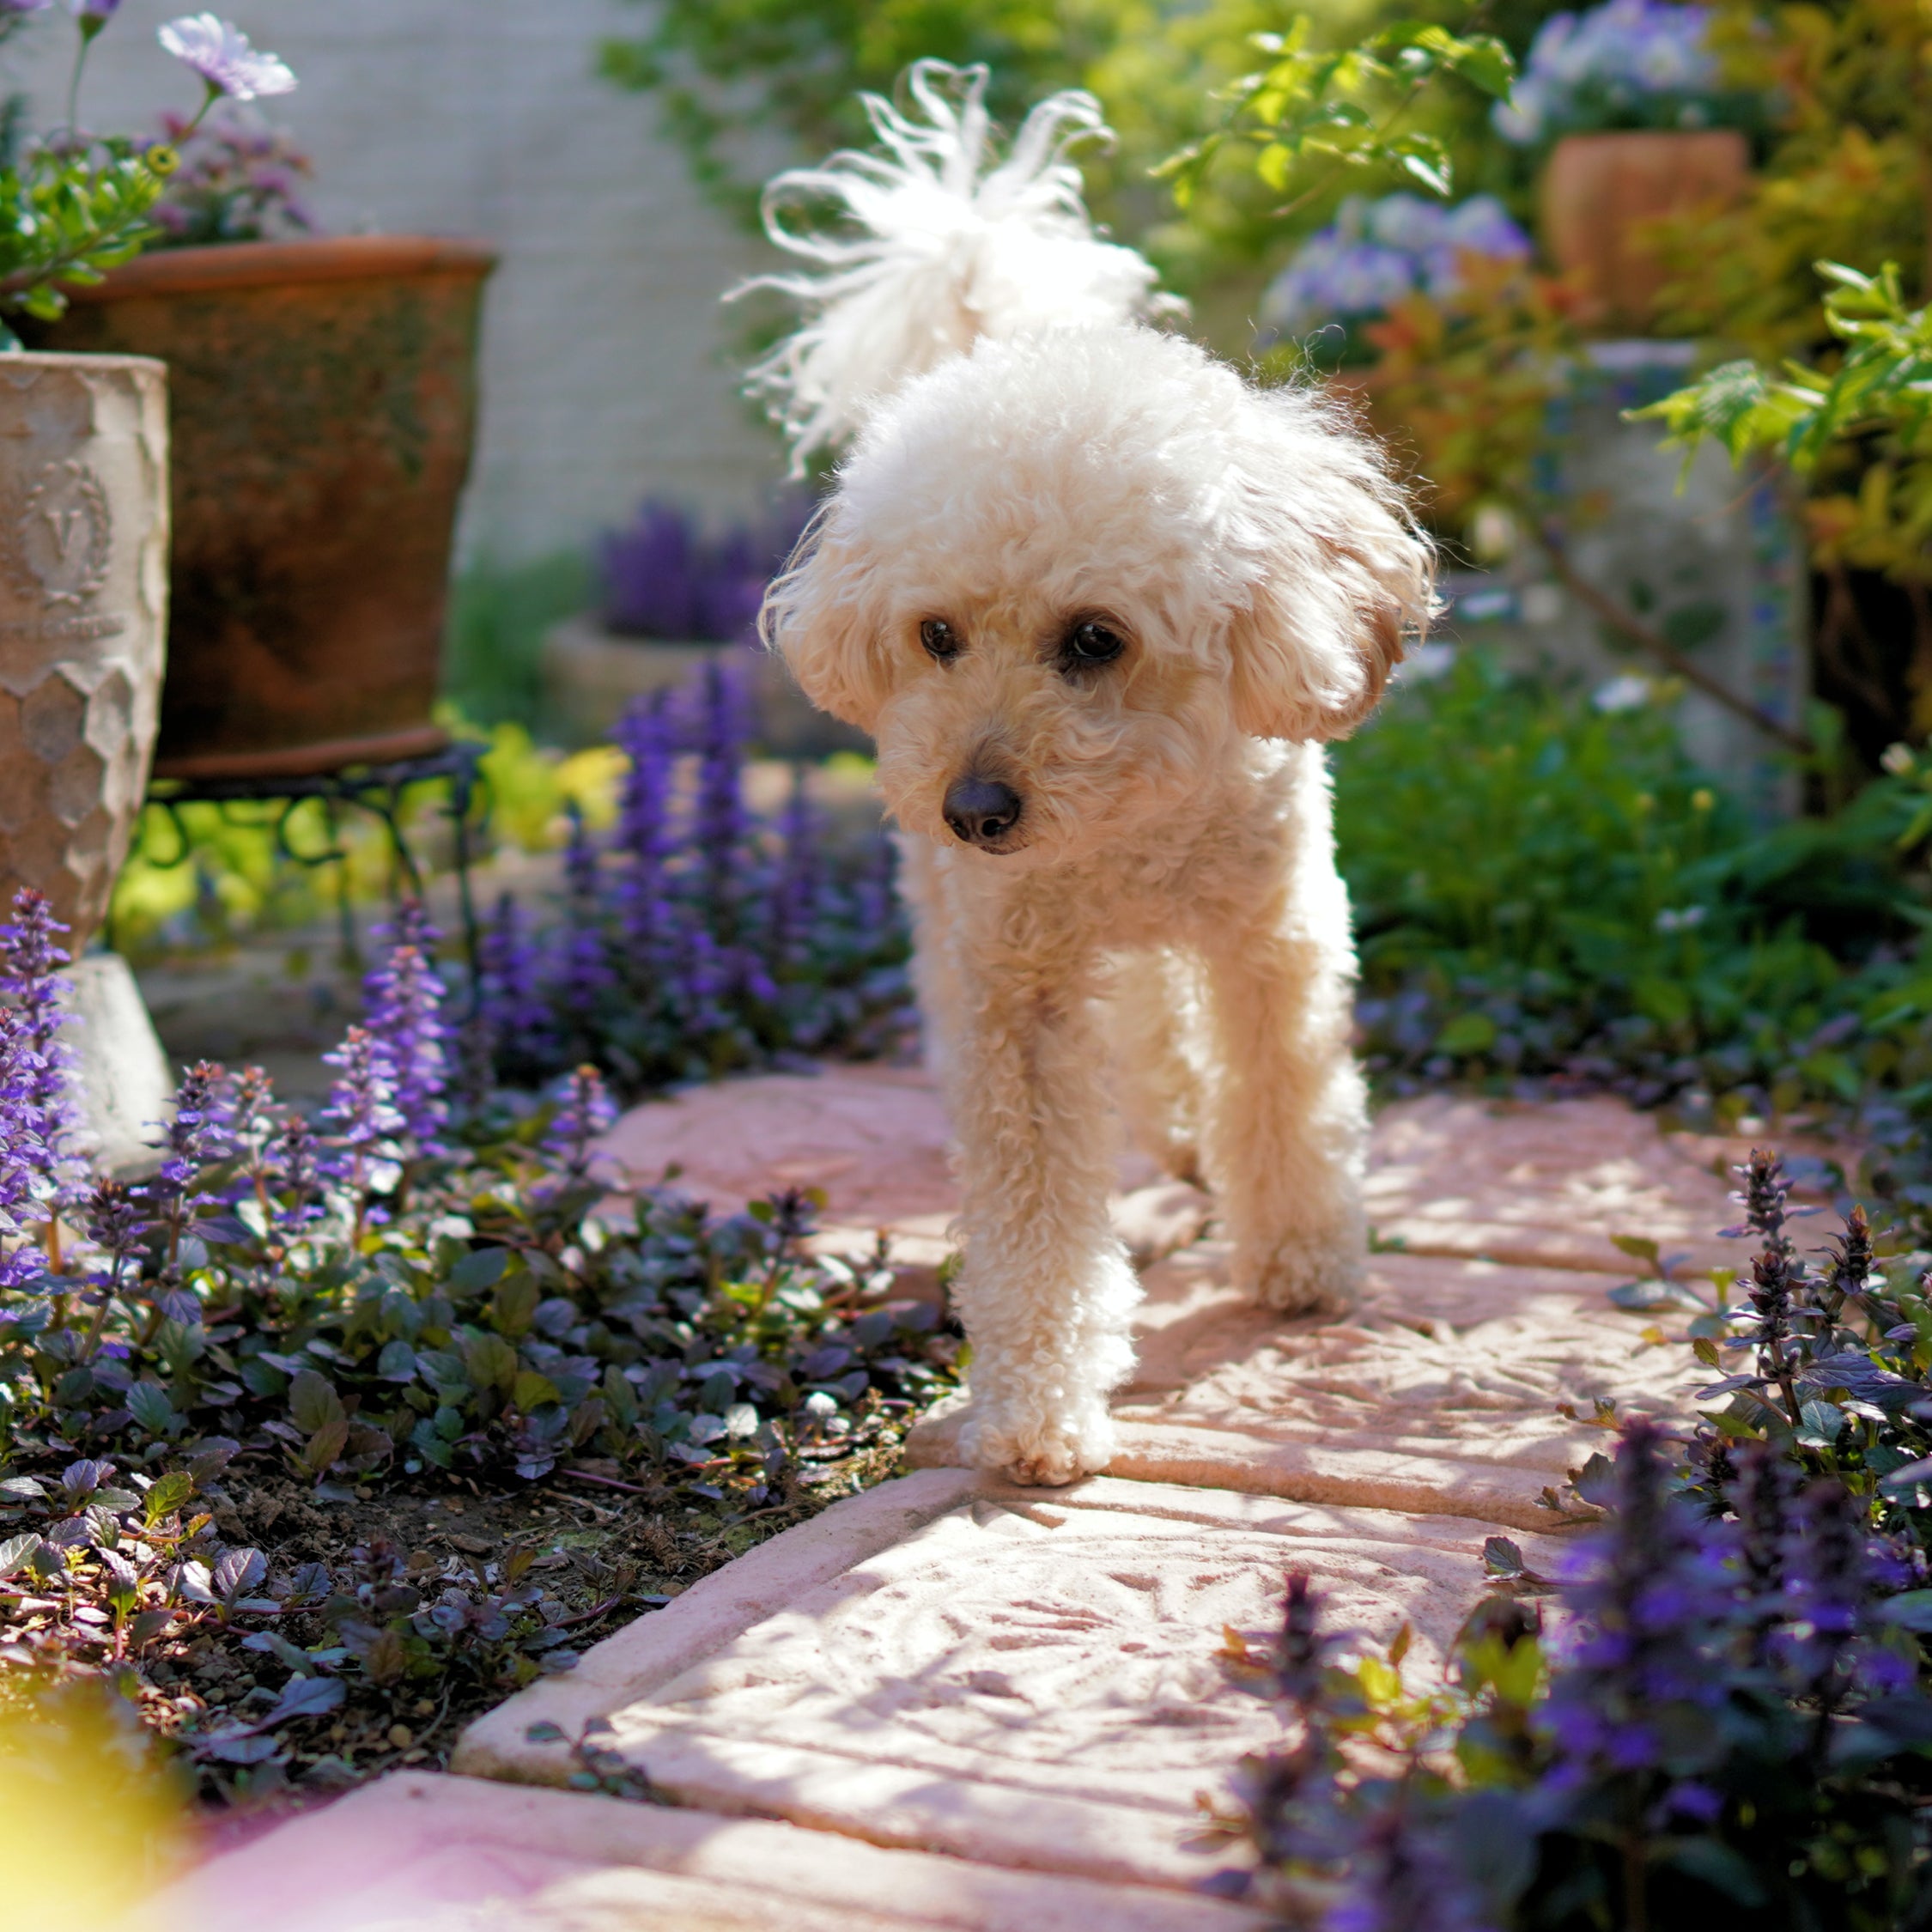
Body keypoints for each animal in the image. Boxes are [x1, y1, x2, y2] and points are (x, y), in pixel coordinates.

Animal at [738, 60, 1437, 1476]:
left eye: (1095, 639)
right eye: (935, 636)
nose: (972, 809)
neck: (1127, 833)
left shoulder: (1272, 935)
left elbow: (1284, 1095)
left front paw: (1303, 1260)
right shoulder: (1016, 988)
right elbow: (1032, 1206)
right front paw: (1034, 1411)